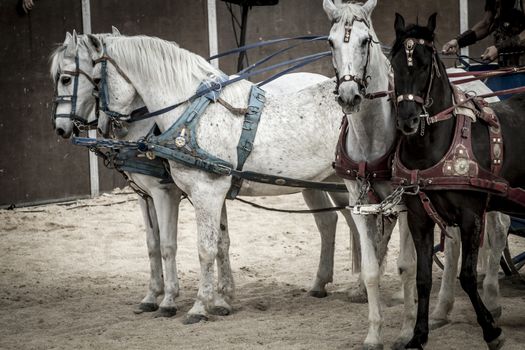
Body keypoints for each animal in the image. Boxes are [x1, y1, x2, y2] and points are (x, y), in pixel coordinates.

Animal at [53, 30, 364, 322]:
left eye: (73, 79)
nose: (61, 128)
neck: (189, 116)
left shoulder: (187, 192)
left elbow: (191, 247)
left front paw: (190, 305)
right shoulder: (164, 194)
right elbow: (196, 244)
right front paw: (217, 299)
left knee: (357, 224)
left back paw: (359, 288)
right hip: (322, 181)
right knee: (333, 222)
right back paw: (324, 284)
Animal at [322, 0, 416, 348]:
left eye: (365, 41)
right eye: (331, 42)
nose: (349, 96)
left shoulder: (406, 205)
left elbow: (408, 266)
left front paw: (407, 331)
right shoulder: (360, 204)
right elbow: (372, 268)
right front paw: (374, 333)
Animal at [386, 12, 524, 348]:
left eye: (425, 64)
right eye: (395, 64)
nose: (407, 120)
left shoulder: (471, 215)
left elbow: (467, 276)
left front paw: (492, 330)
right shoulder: (420, 218)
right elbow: (423, 278)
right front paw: (417, 335)